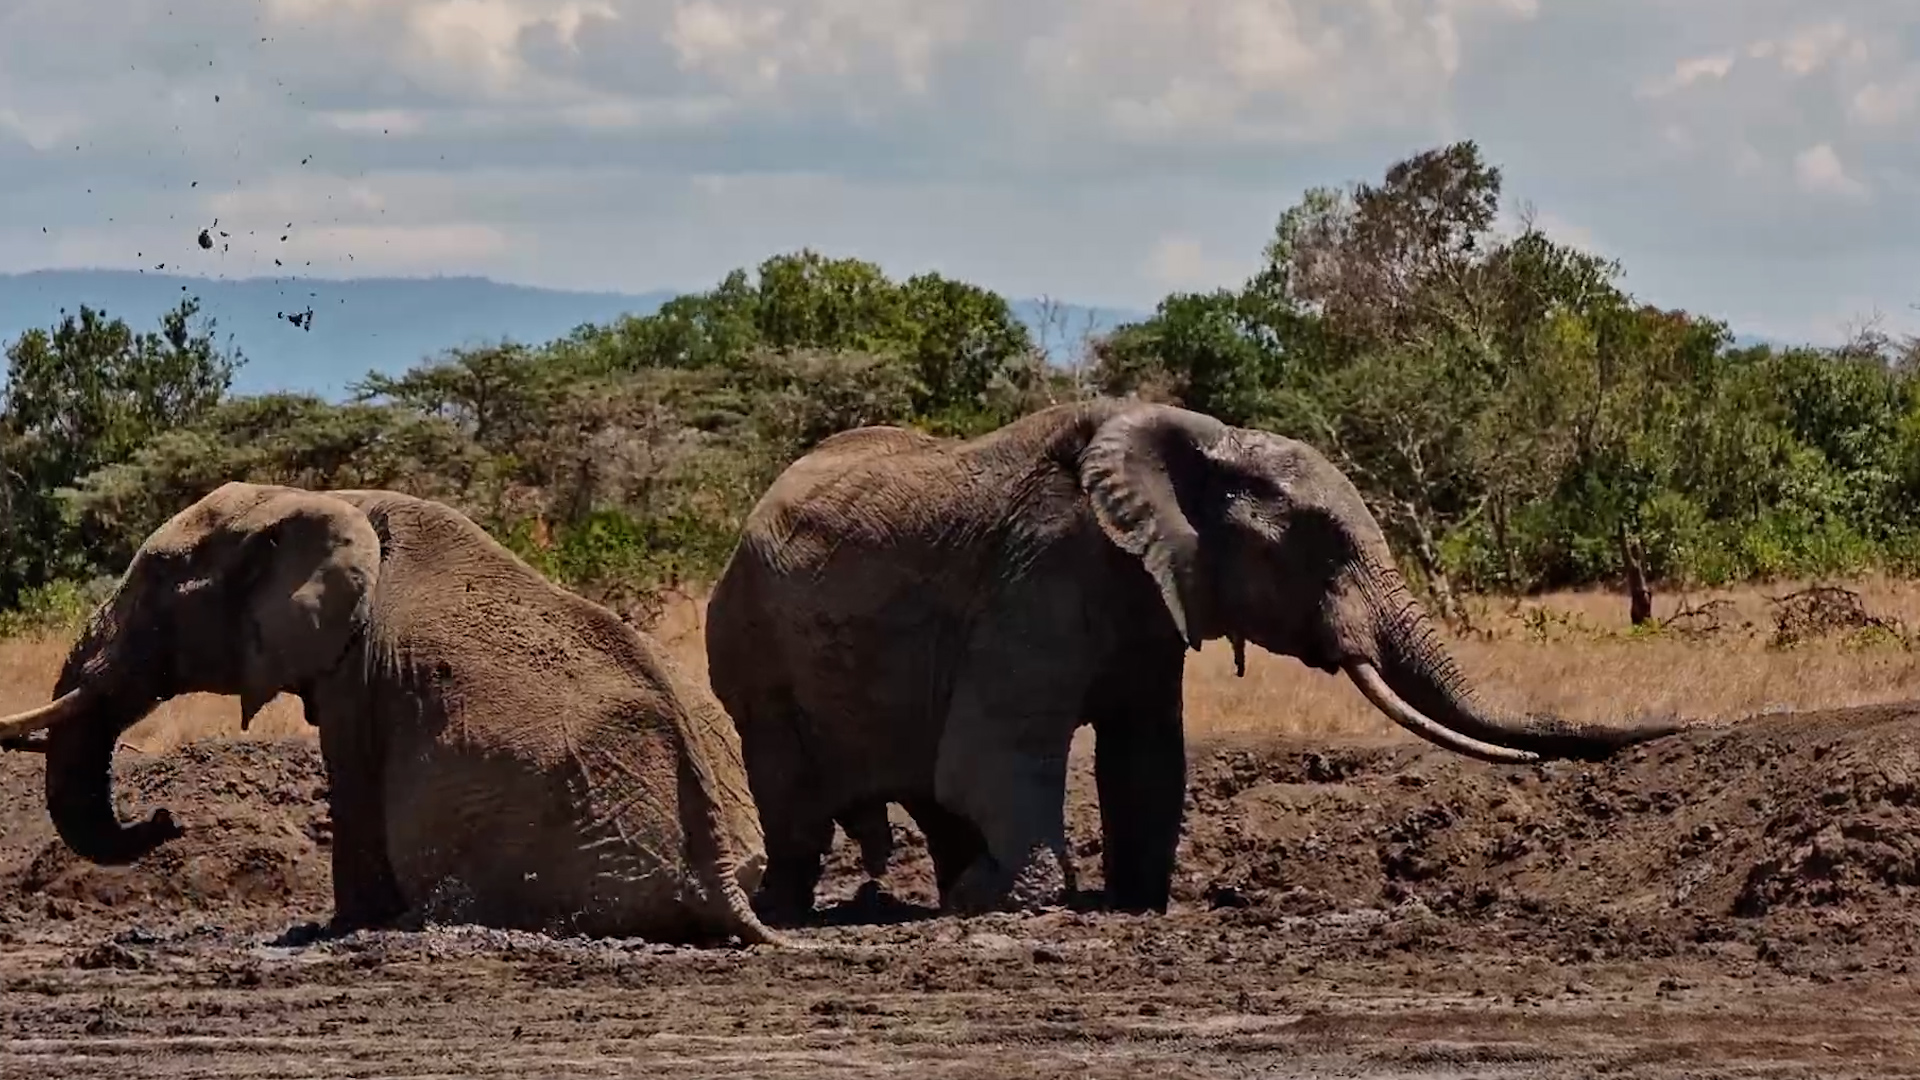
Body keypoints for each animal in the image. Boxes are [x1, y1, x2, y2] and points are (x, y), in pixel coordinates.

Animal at [0, 481, 787, 946]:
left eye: (158, 579)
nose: (164, 820)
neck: (318, 499)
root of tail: (724, 891)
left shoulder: (359, 678)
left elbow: (352, 792)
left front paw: (345, 925)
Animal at [704, 399, 1685, 921]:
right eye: (1321, 545)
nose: (1669, 727)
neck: (1196, 441)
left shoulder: (1148, 598)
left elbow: (1146, 759)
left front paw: (1135, 903)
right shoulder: (1036, 577)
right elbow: (996, 754)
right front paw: (1032, 904)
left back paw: (951, 894)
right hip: (751, 656)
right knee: (797, 799)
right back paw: (796, 910)